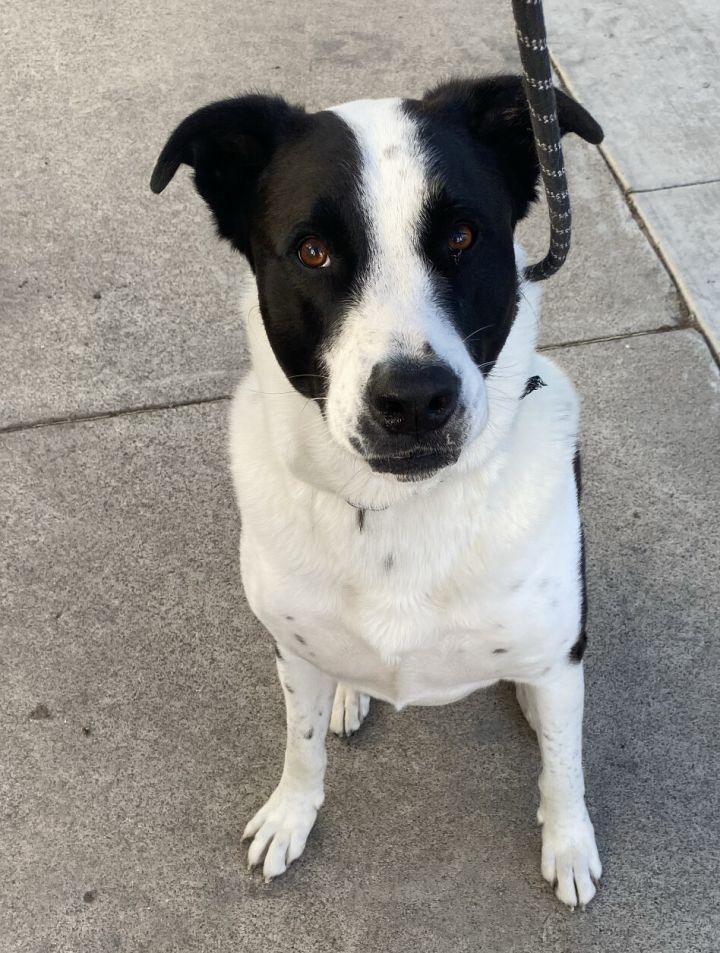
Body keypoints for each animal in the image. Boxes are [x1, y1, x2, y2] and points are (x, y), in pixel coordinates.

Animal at [153, 74, 608, 908]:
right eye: (313, 250)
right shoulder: (291, 650)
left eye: (461, 237)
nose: (416, 399)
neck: (396, 512)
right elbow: (300, 747)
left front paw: (568, 841)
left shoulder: (561, 657)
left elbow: (564, 764)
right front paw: (291, 813)